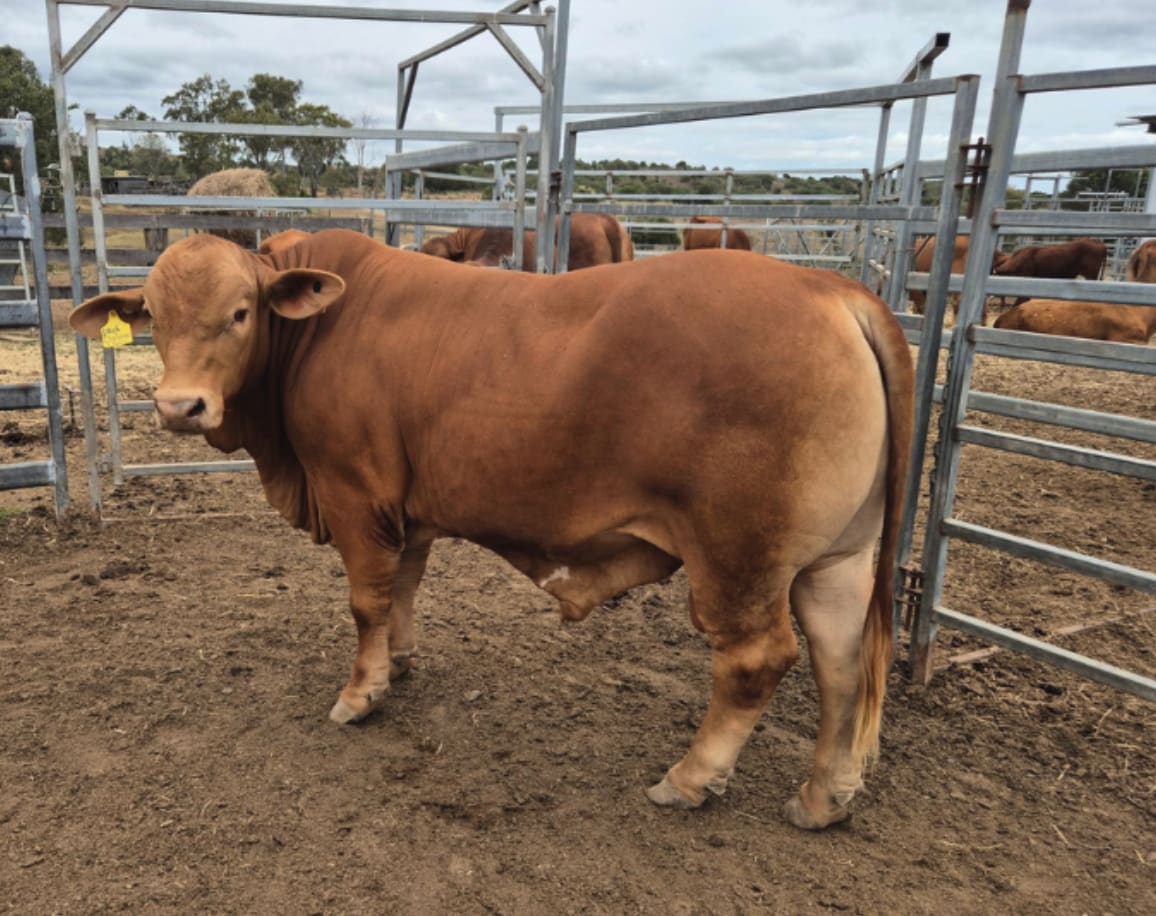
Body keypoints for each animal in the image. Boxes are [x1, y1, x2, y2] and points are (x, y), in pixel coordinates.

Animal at [69, 229, 914, 830]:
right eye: (153, 317)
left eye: (240, 312)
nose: (178, 407)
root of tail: (833, 289)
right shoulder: (407, 510)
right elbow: (403, 590)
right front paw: (400, 663)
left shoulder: (353, 493)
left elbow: (367, 602)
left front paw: (361, 692)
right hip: (839, 560)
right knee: (841, 664)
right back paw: (824, 796)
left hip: (739, 559)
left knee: (755, 663)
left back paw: (690, 779)